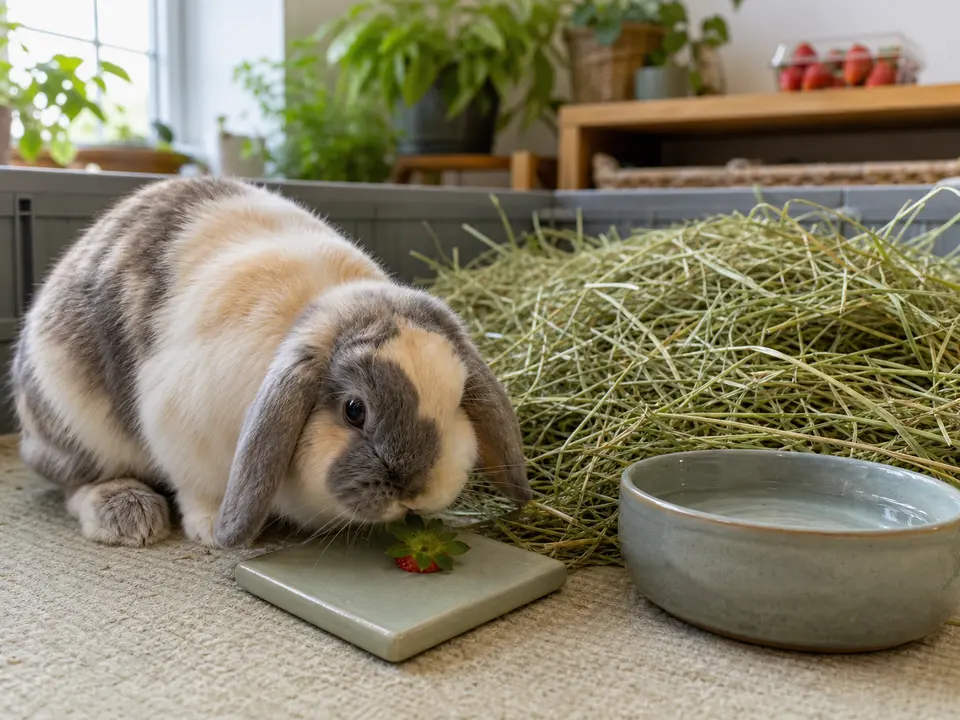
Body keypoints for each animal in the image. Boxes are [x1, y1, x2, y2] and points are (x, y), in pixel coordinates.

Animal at [11, 176, 530, 549]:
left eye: (457, 400)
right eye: (355, 410)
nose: (413, 490)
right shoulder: (178, 436)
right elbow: (197, 490)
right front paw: (210, 532)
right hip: (75, 420)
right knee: (74, 481)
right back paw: (128, 515)